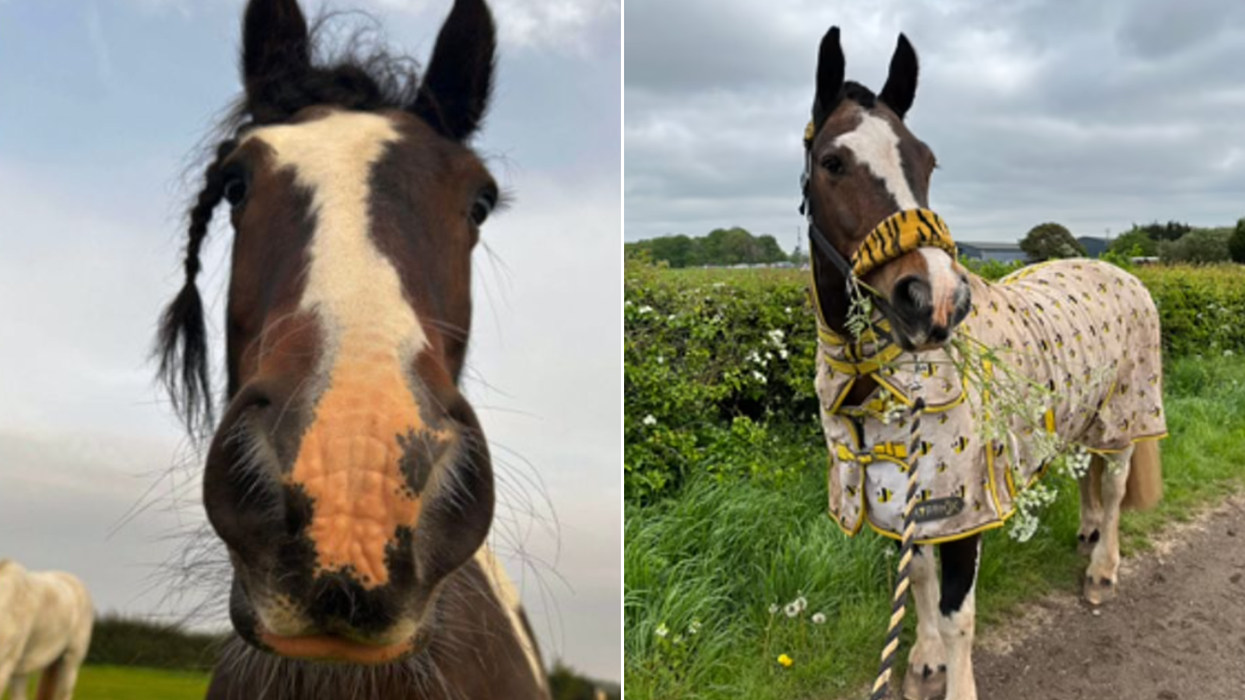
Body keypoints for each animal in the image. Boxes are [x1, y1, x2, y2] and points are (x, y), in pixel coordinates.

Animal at [801, 28, 1167, 700]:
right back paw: (1087, 536)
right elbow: (918, 579)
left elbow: (957, 614)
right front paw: (922, 663)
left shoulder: (960, 510)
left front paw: (950, 675)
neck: (880, 386)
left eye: (927, 162)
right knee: (1088, 476)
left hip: (1124, 418)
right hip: (1081, 421)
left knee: (1114, 484)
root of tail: (1119, 269)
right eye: (833, 162)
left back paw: (1103, 569)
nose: (936, 299)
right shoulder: (909, 499)